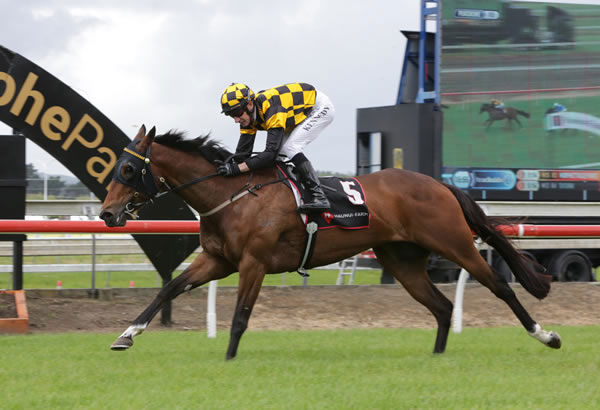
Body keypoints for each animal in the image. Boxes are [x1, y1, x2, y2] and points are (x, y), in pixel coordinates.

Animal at [98, 125, 564, 358]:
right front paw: (125, 335)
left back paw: (546, 336)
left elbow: (240, 317)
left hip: (456, 245)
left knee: (500, 286)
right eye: (116, 165)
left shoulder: (253, 263)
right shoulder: (218, 261)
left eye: (127, 170)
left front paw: (228, 359)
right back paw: (436, 356)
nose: (106, 214)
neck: (231, 195)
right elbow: (170, 288)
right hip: (403, 261)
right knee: (442, 307)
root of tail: (440, 184)